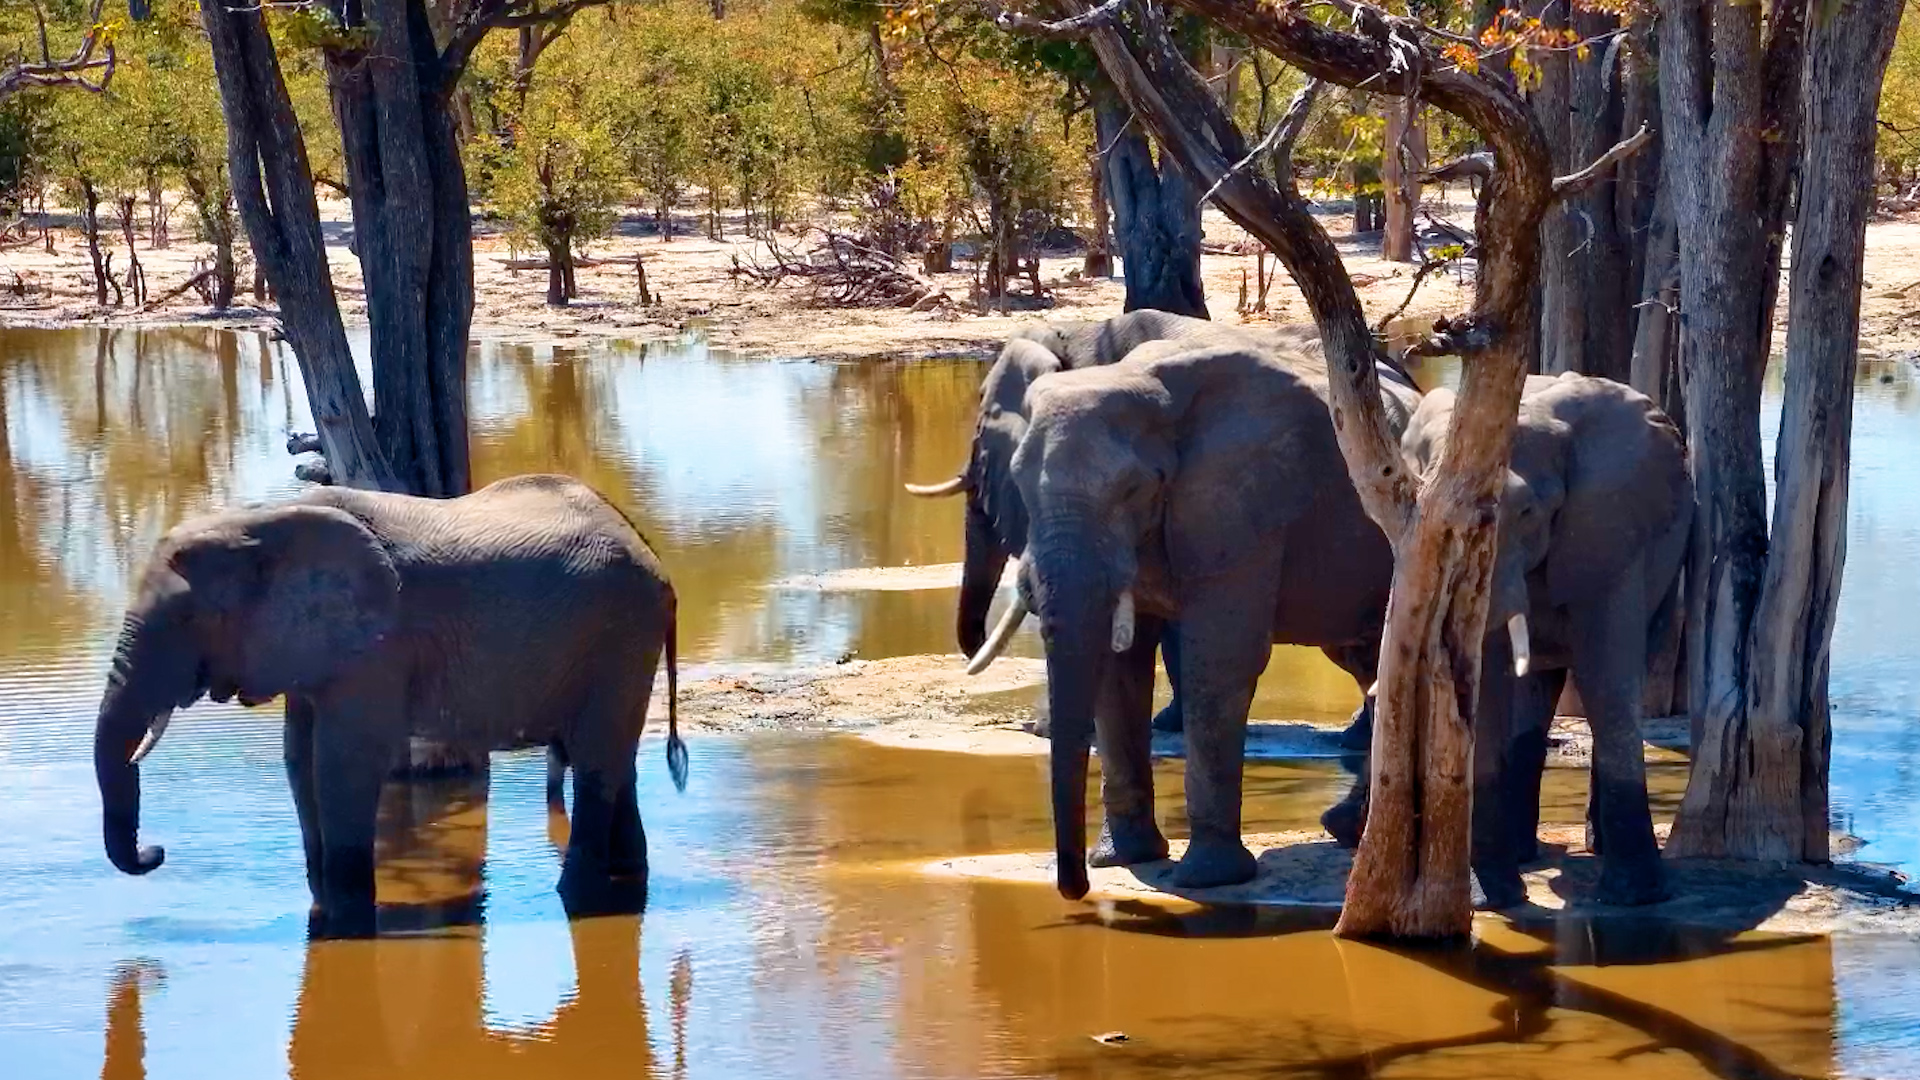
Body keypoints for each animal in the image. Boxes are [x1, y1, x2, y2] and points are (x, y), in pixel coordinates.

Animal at [92, 473, 689, 932]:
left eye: (189, 619)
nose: (156, 854)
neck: (260, 523)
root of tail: (654, 556)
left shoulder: (377, 648)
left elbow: (342, 764)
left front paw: (346, 925)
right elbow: (299, 759)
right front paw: (326, 909)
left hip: (619, 634)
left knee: (596, 762)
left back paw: (578, 898)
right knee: (615, 762)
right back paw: (626, 877)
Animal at [965, 339, 1420, 897]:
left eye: (1133, 490)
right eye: (1021, 484)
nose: (1076, 889)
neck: (1137, 383)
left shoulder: (1242, 507)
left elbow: (1220, 660)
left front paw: (1207, 879)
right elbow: (1119, 667)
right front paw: (1124, 859)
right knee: (1368, 665)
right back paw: (1345, 829)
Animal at [1321, 372, 1690, 908]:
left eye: (1529, 512)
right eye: (1427, 514)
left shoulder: (1613, 531)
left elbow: (1606, 675)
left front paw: (1634, 897)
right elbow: (1490, 681)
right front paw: (1490, 897)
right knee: (1536, 694)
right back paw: (1522, 854)